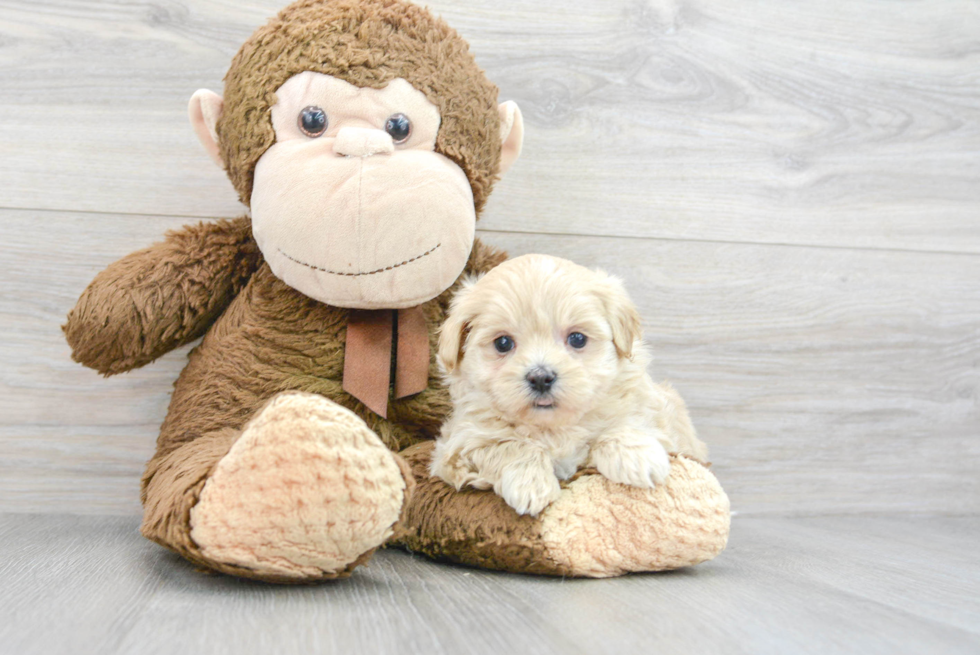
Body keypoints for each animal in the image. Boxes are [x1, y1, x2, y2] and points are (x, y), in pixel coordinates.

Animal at [432, 254, 708, 516]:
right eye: (503, 343)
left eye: (577, 339)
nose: (541, 377)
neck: (554, 429)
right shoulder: (458, 444)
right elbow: (509, 445)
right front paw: (530, 484)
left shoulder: (654, 413)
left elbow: (625, 422)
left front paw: (637, 457)